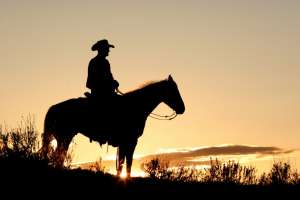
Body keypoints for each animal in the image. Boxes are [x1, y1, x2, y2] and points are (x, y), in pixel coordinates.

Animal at [41, 75, 184, 177]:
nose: (183, 108)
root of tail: (54, 108)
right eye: (174, 91)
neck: (136, 106)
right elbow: (127, 162)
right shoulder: (131, 141)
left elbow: (122, 163)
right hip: (64, 137)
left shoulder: (124, 143)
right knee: (58, 156)